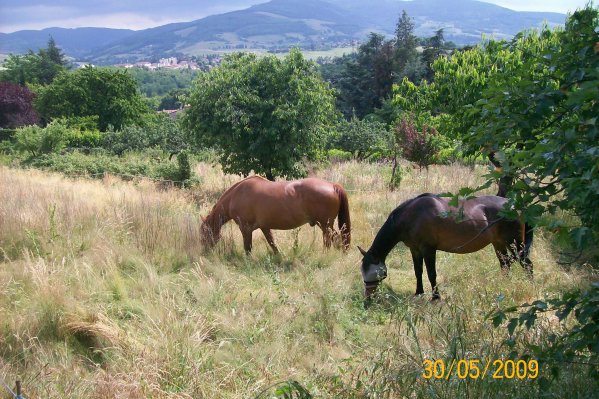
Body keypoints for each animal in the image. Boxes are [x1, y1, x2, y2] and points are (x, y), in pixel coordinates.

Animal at [202, 177, 352, 253]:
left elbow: (248, 248)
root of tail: (333, 185)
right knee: (337, 238)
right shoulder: (264, 227)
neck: (237, 195)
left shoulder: (246, 229)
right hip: (326, 225)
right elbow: (272, 243)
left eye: (204, 232)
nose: (205, 251)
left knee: (330, 240)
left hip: (325, 225)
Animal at [358, 193, 536, 300]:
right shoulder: (415, 249)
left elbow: (431, 274)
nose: (368, 299)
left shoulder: (428, 249)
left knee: (526, 264)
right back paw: (503, 285)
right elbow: (418, 271)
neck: (412, 216)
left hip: (515, 243)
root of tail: (517, 205)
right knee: (505, 265)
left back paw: (530, 285)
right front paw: (419, 292)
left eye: (376, 273)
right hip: (498, 243)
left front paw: (436, 297)